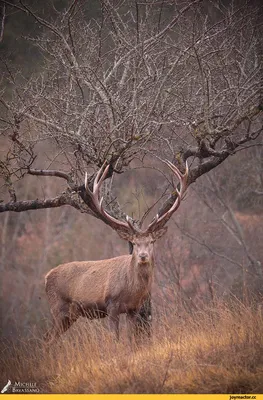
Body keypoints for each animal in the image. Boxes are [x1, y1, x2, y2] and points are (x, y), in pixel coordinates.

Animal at [44, 158, 189, 342]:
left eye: (151, 241)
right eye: (134, 243)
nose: (143, 256)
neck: (132, 290)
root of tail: (46, 277)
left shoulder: (133, 309)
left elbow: (131, 338)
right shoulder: (111, 304)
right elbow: (116, 339)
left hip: (69, 315)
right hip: (58, 307)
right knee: (48, 338)